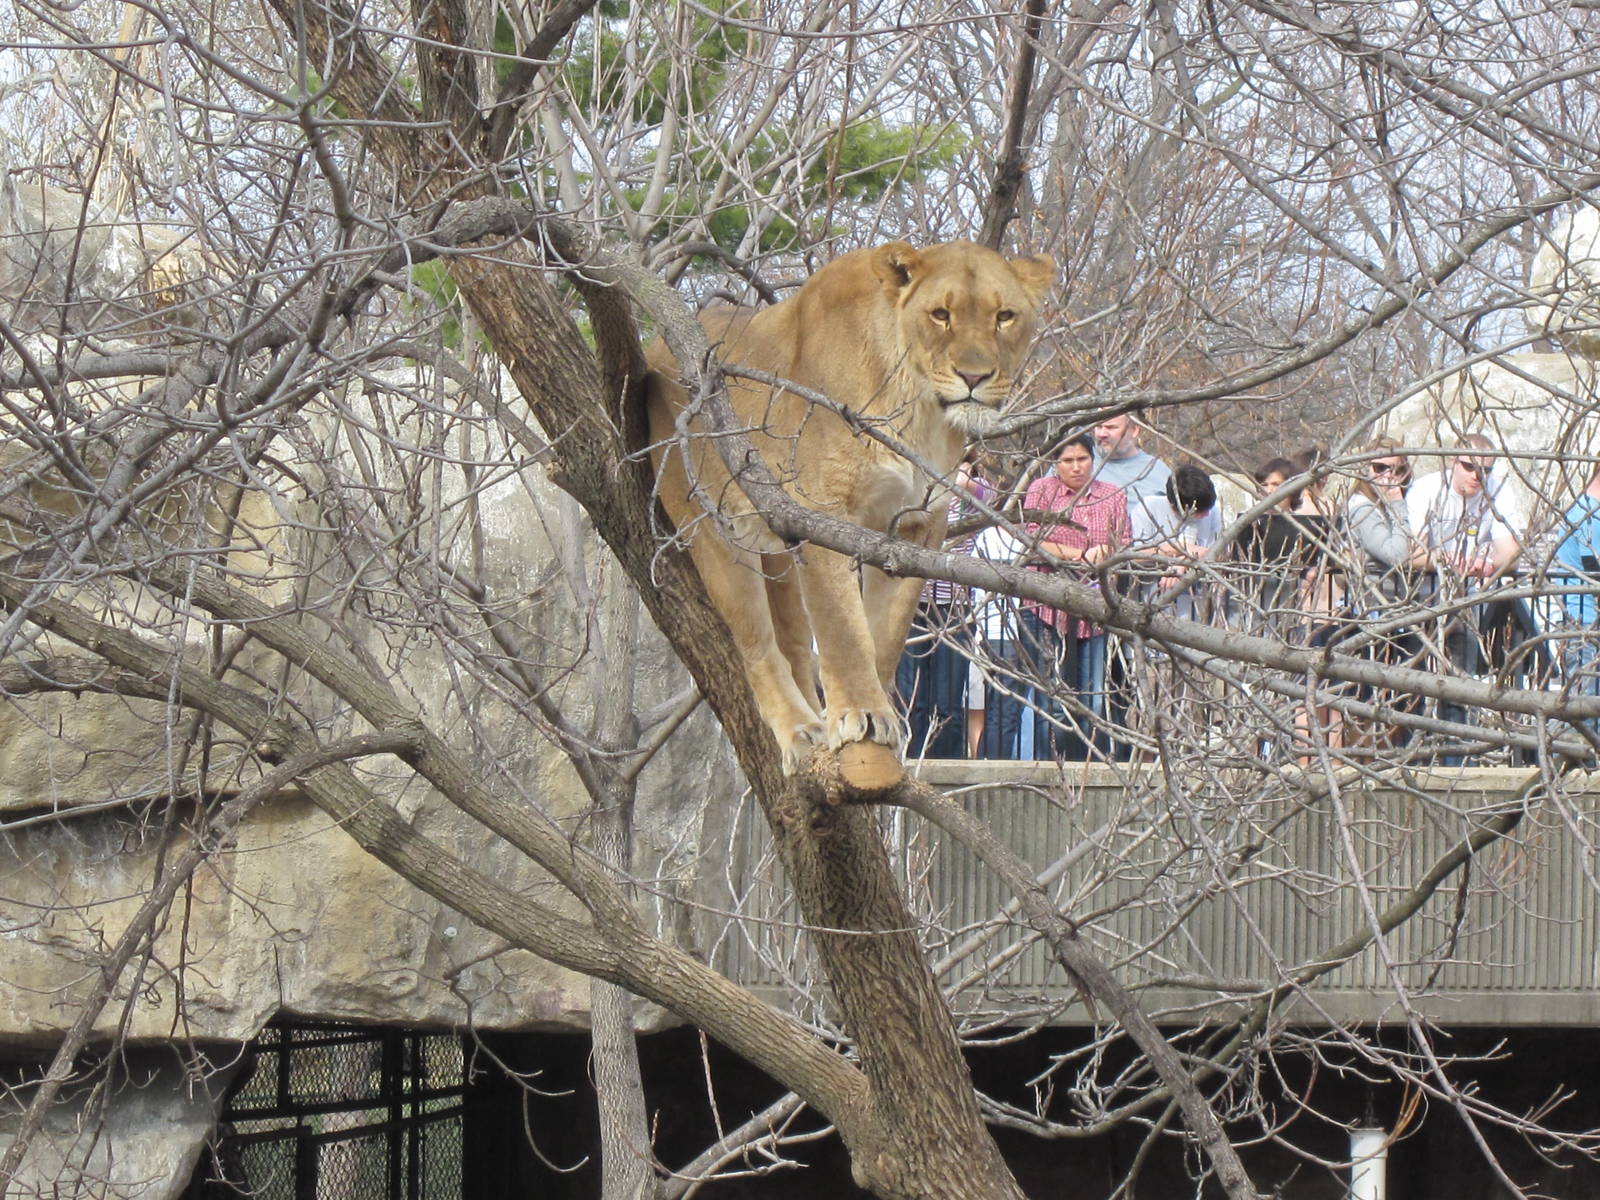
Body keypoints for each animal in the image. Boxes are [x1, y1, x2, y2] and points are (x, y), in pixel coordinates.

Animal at [646, 240, 1054, 788]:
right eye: (940, 315)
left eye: (1004, 316)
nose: (975, 377)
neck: (918, 409)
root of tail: (654, 348)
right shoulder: (822, 509)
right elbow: (842, 625)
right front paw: (859, 713)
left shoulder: (918, 524)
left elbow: (886, 630)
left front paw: (877, 721)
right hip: (712, 527)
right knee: (757, 646)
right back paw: (800, 730)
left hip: (778, 548)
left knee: (795, 644)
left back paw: (817, 721)